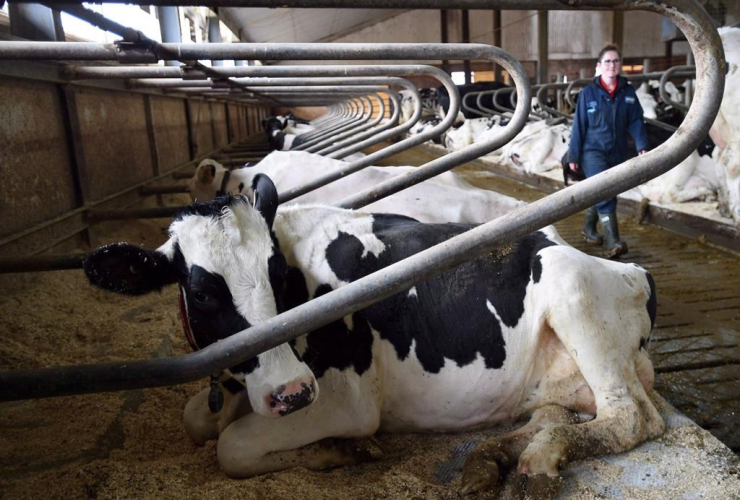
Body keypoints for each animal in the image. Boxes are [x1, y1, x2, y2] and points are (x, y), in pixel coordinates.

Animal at [82, 171, 664, 496]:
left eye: (278, 274)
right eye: (202, 292)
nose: (292, 392)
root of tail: (635, 271)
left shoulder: (346, 398)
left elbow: (231, 446)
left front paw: (336, 452)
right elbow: (197, 421)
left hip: (573, 294)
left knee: (629, 418)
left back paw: (537, 466)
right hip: (552, 378)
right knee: (553, 413)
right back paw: (495, 460)